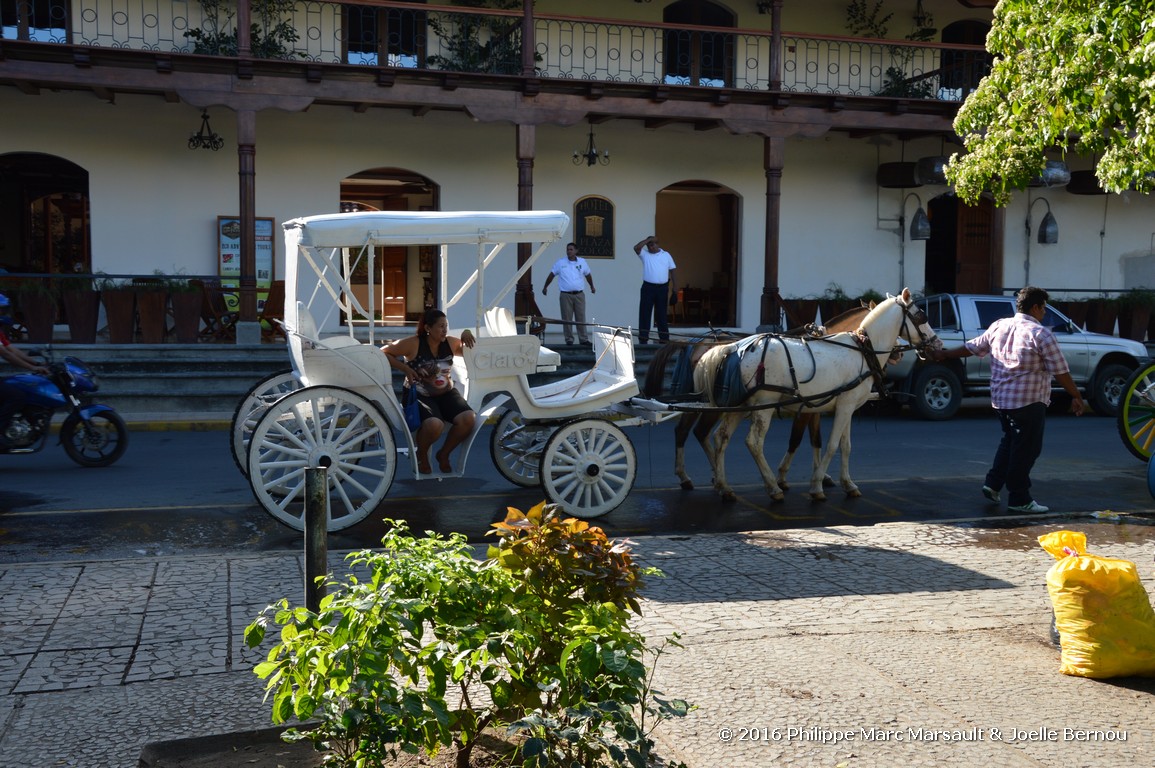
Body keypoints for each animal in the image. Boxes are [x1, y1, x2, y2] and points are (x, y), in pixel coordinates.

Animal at [637, 300, 868, 487]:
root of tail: (696, 343)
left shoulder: (817, 406)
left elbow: (816, 439)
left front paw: (822, 476)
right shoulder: (808, 407)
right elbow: (797, 439)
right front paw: (784, 477)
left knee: (686, 431)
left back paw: (700, 474)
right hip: (714, 403)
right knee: (699, 432)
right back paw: (710, 475)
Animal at [693, 291, 937, 501]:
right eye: (921, 315)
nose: (937, 343)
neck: (863, 350)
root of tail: (732, 348)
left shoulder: (846, 407)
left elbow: (845, 446)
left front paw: (848, 484)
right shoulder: (842, 407)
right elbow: (830, 445)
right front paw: (817, 484)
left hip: (740, 405)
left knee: (721, 437)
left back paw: (724, 486)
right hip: (764, 405)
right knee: (753, 442)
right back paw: (772, 486)